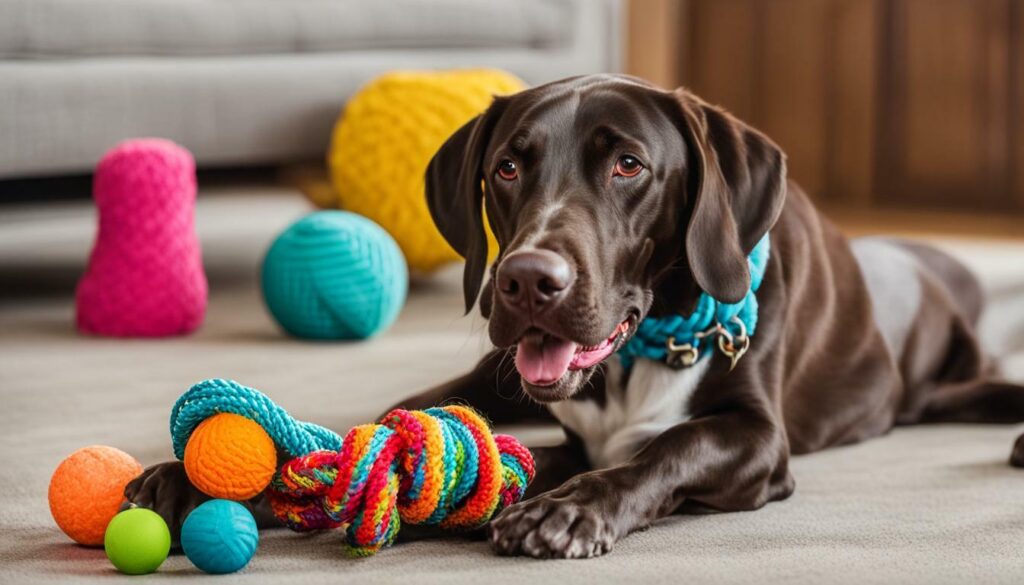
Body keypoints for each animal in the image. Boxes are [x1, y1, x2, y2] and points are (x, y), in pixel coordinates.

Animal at [125, 75, 1024, 561]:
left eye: (629, 165)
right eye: (506, 167)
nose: (527, 280)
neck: (647, 348)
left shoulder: (758, 440)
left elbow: (670, 445)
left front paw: (569, 509)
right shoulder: (506, 392)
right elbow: (395, 431)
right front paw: (222, 477)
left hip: (942, 380)